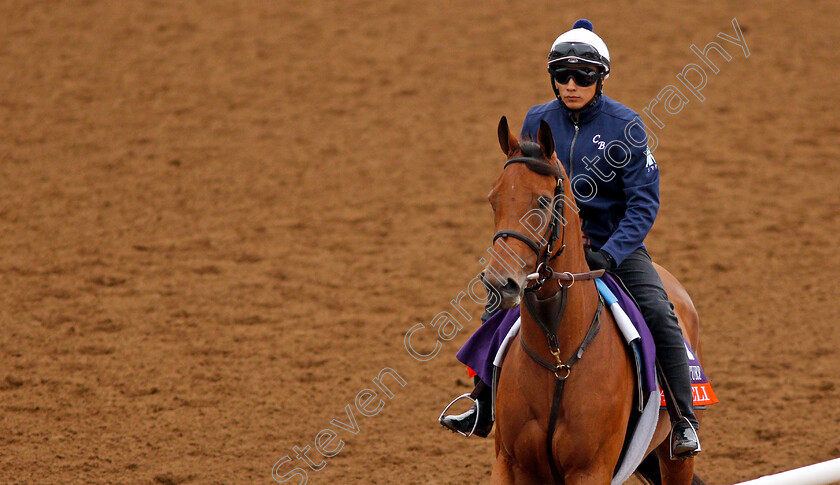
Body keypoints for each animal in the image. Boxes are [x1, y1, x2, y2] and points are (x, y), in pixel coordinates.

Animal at [482, 117, 704, 484]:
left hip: (676, 458)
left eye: (543, 201)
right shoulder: (510, 463)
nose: (500, 283)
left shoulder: (590, 469)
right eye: (493, 199)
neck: (558, 356)